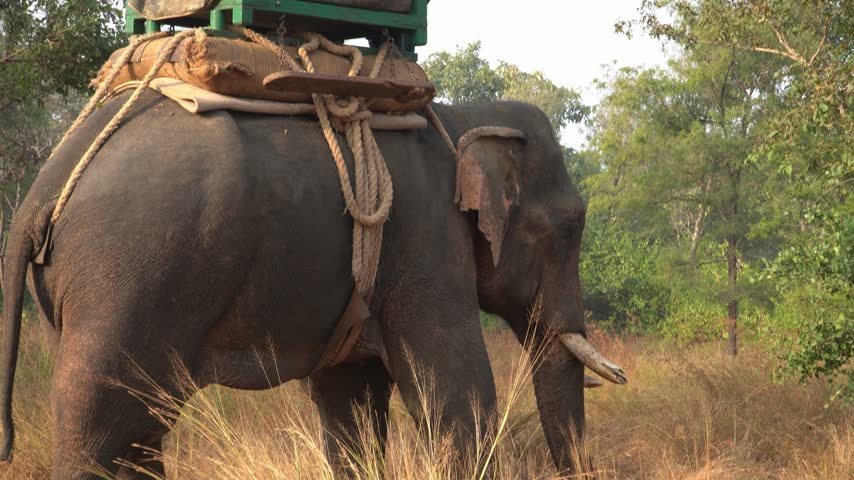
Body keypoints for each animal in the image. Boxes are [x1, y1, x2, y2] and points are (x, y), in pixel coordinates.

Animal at [0, 89, 626, 479]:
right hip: (129, 274)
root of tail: (43, 187)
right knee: (103, 425)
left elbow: (349, 402)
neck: (456, 117)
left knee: (136, 432)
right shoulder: (427, 240)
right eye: (571, 229)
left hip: (74, 293)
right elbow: (455, 389)